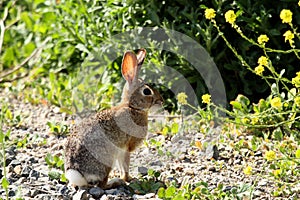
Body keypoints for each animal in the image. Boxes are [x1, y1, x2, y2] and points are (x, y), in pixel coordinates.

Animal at [64, 48, 163, 189]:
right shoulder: (126, 148)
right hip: (107, 160)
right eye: (147, 91)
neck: (132, 107)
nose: (161, 101)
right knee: (101, 185)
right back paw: (116, 182)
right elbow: (125, 165)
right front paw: (129, 179)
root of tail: (77, 172)